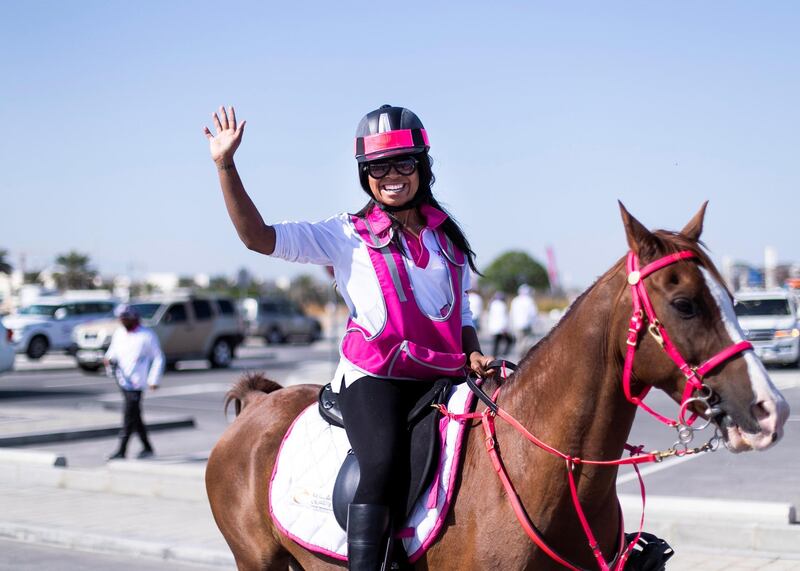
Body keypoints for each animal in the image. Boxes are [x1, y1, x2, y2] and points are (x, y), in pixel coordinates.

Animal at [206, 203, 788, 568]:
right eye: (685, 304)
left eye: (733, 298)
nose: (771, 408)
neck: (547, 468)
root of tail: (259, 403)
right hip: (256, 560)